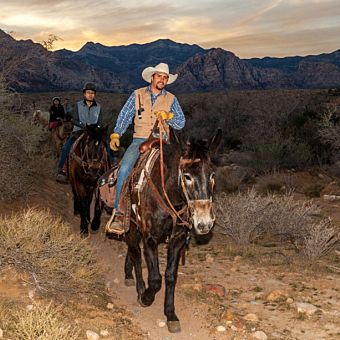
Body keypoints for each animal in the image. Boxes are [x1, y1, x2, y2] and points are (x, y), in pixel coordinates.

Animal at [91, 127, 222, 332]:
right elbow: (155, 278)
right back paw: (139, 287)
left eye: (212, 175)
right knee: (136, 255)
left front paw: (171, 314)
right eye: (187, 176)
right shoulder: (150, 238)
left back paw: (128, 274)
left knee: (132, 252)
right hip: (131, 227)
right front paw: (146, 297)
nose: (204, 223)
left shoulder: (177, 240)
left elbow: (170, 276)